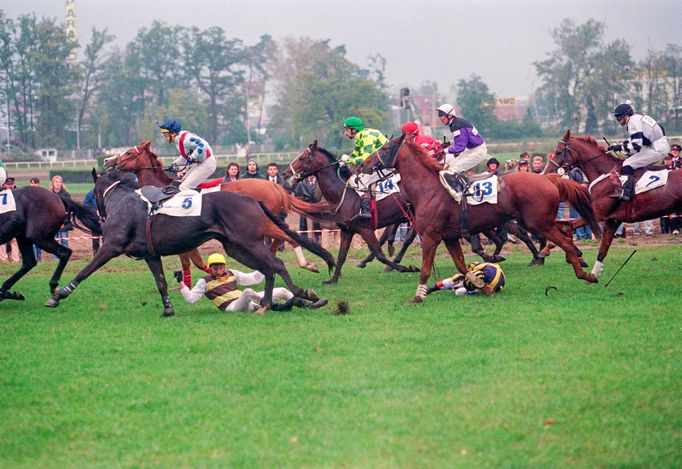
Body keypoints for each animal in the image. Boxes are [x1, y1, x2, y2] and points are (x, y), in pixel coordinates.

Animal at [43, 170, 334, 316]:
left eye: (94, 193)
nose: (100, 216)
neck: (124, 202)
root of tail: (253, 199)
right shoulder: (150, 254)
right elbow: (161, 281)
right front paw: (168, 308)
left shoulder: (110, 246)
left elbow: (84, 271)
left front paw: (57, 296)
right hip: (236, 247)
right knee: (270, 267)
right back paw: (284, 300)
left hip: (248, 242)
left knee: (275, 264)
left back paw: (294, 296)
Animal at [103, 141, 332, 276]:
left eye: (129, 152)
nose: (107, 160)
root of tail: (275, 185)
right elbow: (190, 261)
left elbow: (190, 261)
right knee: (284, 237)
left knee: (285, 238)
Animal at [278, 141, 418, 284]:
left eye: (302, 158)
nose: (284, 173)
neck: (342, 194)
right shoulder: (347, 230)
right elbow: (341, 256)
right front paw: (332, 280)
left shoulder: (365, 229)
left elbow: (380, 255)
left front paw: (407, 268)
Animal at [356, 134, 600, 304]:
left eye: (385, 148)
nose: (362, 164)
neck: (429, 188)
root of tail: (548, 177)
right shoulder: (450, 237)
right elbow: (463, 267)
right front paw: (485, 286)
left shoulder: (430, 236)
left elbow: (426, 269)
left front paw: (417, 296)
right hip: (539, 221)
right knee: (565, 229)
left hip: (539, 222)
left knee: (564, 242)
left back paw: (584, 273)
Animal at [544, 130, 680, 278]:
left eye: (558, 152)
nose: (547, 173)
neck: (606, 173)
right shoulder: (612, 220)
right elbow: (602, 250)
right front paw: (592, 274)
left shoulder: (598, 214)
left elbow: (567, 227)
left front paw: (570, 254)